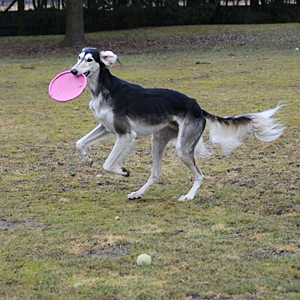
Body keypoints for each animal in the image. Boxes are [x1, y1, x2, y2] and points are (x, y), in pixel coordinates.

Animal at [69, 48, 284, 202]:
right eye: (79, 57)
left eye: (90, 60)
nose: (73, 71)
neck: (103, 89)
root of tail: (198, 107)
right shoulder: (107, 127)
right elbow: (79, 143)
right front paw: (87, 159)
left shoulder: (126, 134)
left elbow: (107, 164)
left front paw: (122, 170)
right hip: (158, 139)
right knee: (156, 173)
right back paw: (138, 193)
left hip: (183, 147)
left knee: (199, 175)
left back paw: (188, 196)